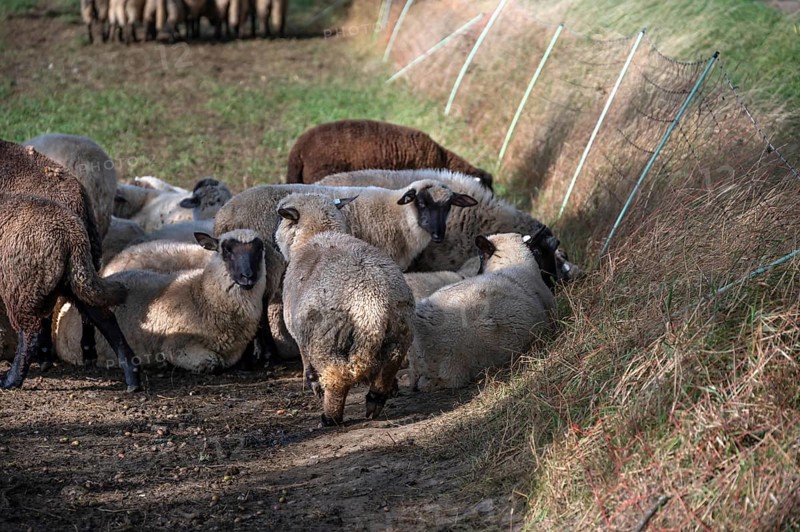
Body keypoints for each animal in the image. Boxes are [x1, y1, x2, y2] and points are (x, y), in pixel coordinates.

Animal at [0, 193, 140, 390]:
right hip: (72, 280)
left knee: (29, 332)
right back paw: (133, 379)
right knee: (105, 319)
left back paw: (11, 381)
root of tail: (72, 236)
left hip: (21, 284)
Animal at [55, 230, 265, 373]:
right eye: (226, 250)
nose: (248, 276)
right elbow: (212, 362)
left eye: (260, 250)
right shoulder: (176, 346)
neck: (201, 295)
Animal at [214, 180, 477, 361]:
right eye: (422, 203)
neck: (399, 218)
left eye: (448, 206)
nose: (439, 235)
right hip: (266, 268)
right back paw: (266, 354)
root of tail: (224, 217)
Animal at [276, 193, 415, 425]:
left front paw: (314, 384)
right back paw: (376, 398)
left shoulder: (299, 331)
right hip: (400, 329)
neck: (317, 234)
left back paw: (330, 416)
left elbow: (306, 363)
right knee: (391, 360)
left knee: (337, 374)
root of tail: (372, 303)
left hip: (326, 337)